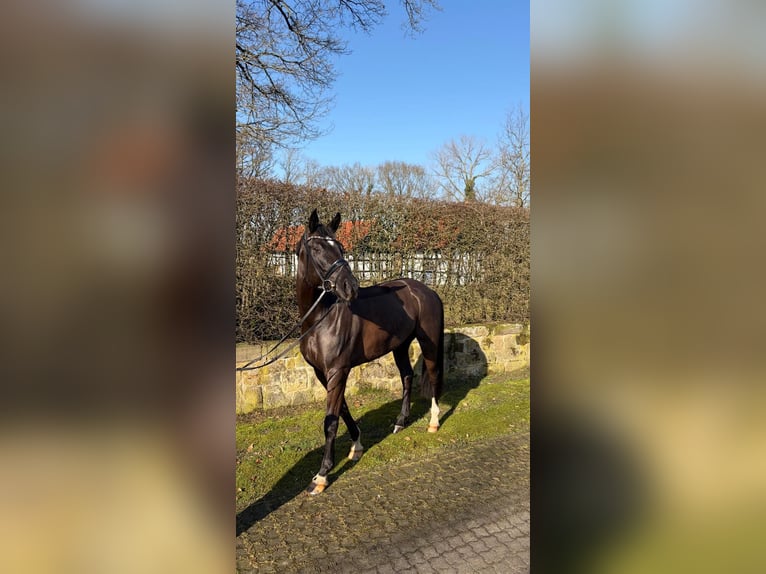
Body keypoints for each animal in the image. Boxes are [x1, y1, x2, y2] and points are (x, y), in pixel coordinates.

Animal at [297, 209, 445, 495]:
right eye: (317, 248)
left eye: (340, 248)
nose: (350, 287)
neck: (320, 318)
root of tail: (426, 290)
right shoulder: (323, 372)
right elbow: (342, 410)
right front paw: (356, 446)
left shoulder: (338, 371)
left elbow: (331, 422)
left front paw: (321, 476)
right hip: (400, 346)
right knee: (407, 376)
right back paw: (400, 422)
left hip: (429, 342)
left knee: (432, 376)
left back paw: (433, 422)